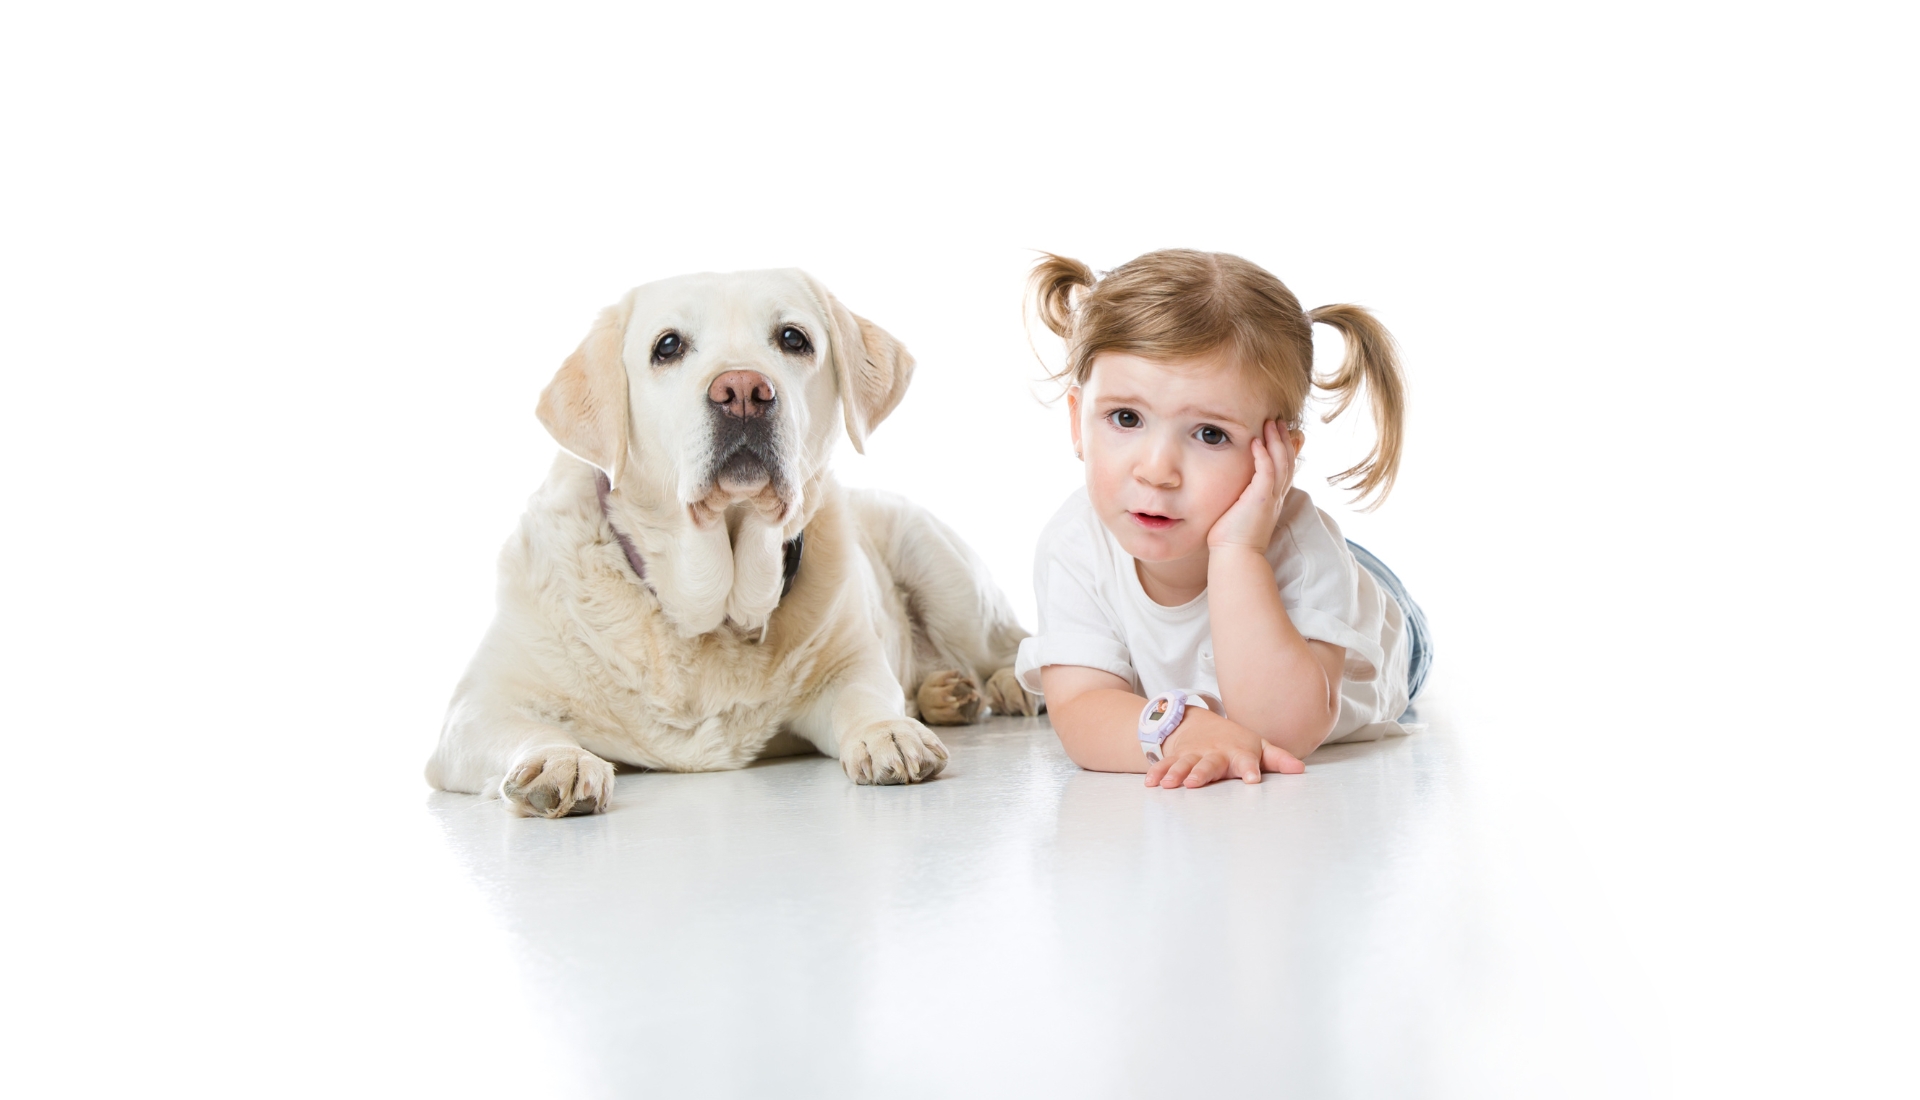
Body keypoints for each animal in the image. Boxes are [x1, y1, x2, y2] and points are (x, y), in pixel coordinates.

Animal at [425, 270, 1037, 817]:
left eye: (793, 338)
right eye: (667, 346)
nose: (742, 390)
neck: (709, 613)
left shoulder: (849, 668)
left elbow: (866, 697)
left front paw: (888, 733)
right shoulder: (474, 711)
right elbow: (525, 730)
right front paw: (560, 759)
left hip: (943, 574)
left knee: (1012, 643)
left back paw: (1011, 685)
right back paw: (946, 694)